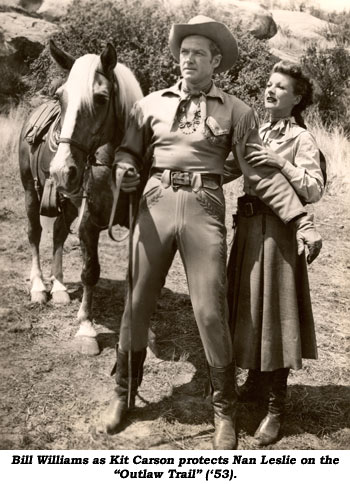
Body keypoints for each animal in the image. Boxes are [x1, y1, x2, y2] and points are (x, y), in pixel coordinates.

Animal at [18, 40, 144, 356]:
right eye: (60, 97)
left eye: (100, 98)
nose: (62, 170)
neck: (115, 168)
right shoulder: (89, 223)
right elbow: (90, 272)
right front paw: (86, 329)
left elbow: (133, 274)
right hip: (30, 192)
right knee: (35, 233)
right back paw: (39, 287)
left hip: (68, 203)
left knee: (59, 232)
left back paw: (60, 288)